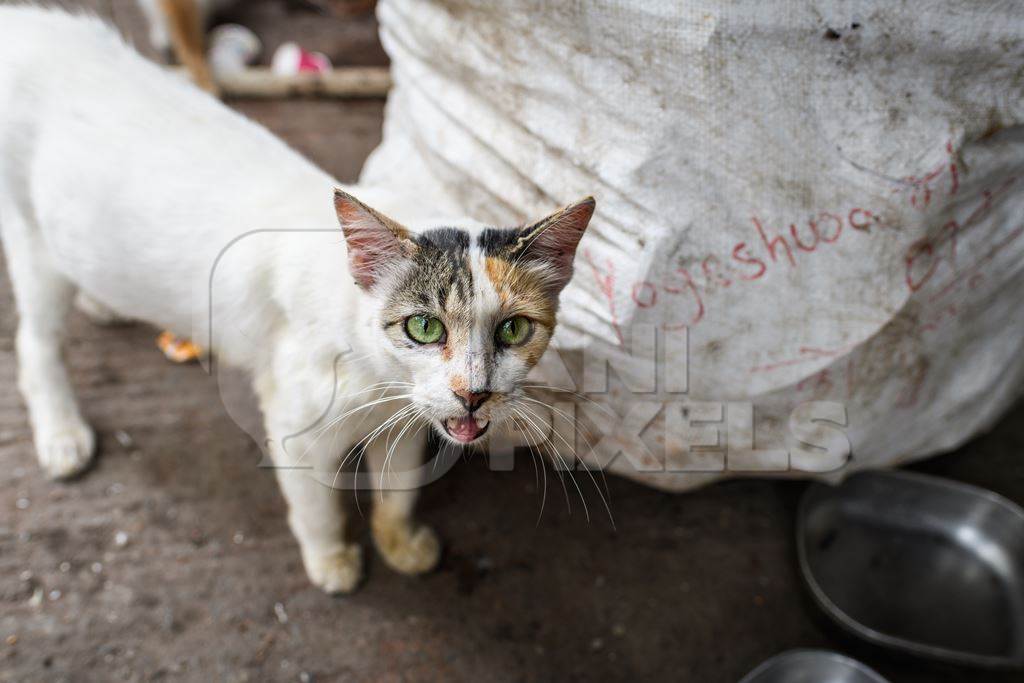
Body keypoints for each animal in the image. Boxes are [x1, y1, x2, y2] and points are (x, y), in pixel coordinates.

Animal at [0, 6, 593, 593]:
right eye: (424, 327)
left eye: (513, 329)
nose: (473, 393)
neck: (375, 377)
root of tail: (32, 24)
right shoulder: (295, 426)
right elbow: (316, 507)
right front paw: (331, 560)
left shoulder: (405, 419)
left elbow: (398, 487)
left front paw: (399, 541)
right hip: (31, 240)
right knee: (34, 342)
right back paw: (61, 433)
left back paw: (102, 302)